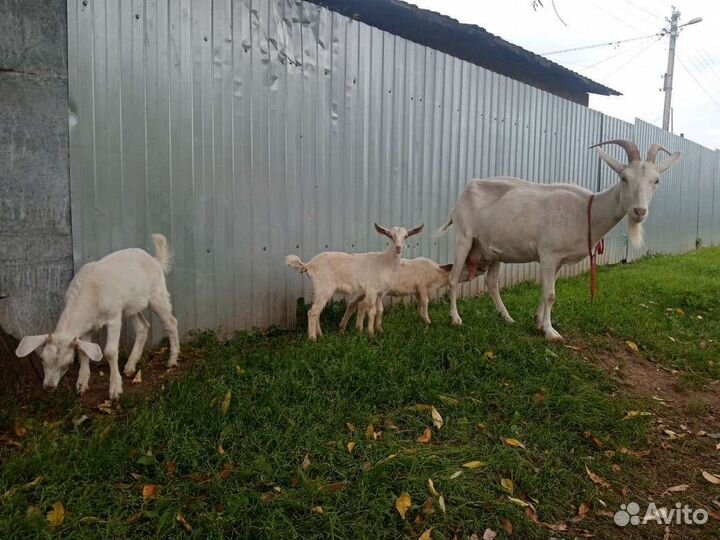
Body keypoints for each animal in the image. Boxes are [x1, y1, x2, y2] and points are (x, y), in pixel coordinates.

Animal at [15, 234, 180, 400]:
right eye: (42, 359)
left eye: (67, 364)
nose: (49, 387)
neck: (90, 293)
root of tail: (155, 260)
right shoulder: (87, 328)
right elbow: (83, 352)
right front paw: (81, 385)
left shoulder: (114, 317)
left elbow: (110, 352)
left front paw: (115, 390)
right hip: (131, 307)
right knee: (143, 327)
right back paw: (130, 366)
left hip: (157, 294)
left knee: (171, 322)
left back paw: (172, 360)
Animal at [286, 223, 424, 340]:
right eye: (390, 235)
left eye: (406, 236)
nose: (398, 248)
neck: (385, 262)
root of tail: (309, 265)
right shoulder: (371, 290)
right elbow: (372, 310)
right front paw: (370, 334)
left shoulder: (381, 293)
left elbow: (380, 310)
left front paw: (380, 330)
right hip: (324, 287)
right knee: (312, 312)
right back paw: (313, 339)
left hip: (320, 289)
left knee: (317, 311)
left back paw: (320, 335)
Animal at [339, 258, 470, 329]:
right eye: (461, 269)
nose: (471, 276)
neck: (436, 274)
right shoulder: (422, 287)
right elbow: (426, 302)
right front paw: (428, 321)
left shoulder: (417, 291)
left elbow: (420, 304)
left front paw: (422, 318)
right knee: (358, 305)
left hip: (362, 291)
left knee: (352, 304)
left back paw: (342, 327)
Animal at [436, 140, 681, 341]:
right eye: (624, 178)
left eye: (656, 180)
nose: (639, 211)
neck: (586, 211)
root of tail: (463, 195)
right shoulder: (548, 254)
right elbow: (550, 294)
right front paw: (551, 333)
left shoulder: (559, 260)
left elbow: (547, 292)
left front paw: (539, 323)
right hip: (464, 238)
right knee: (453, 277)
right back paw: (456, 319)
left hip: (492, 251)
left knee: (491, 283)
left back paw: (507, 318)